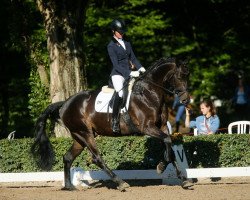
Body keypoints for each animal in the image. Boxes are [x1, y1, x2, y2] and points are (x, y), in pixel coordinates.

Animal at [31, 57, 190, 191]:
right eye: (179, 76)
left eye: (187, 76)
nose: (186, 100)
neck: (149, 93)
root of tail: (65, 103)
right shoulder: (147, 128)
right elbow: (168, 142)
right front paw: (161, 167)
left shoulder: (162, 127)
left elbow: (170, 149)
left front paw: (183, 179)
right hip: (85, 134)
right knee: (97, 158)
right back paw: (121, 183)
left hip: (79, 137)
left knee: (68, 157)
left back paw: (70, 186)